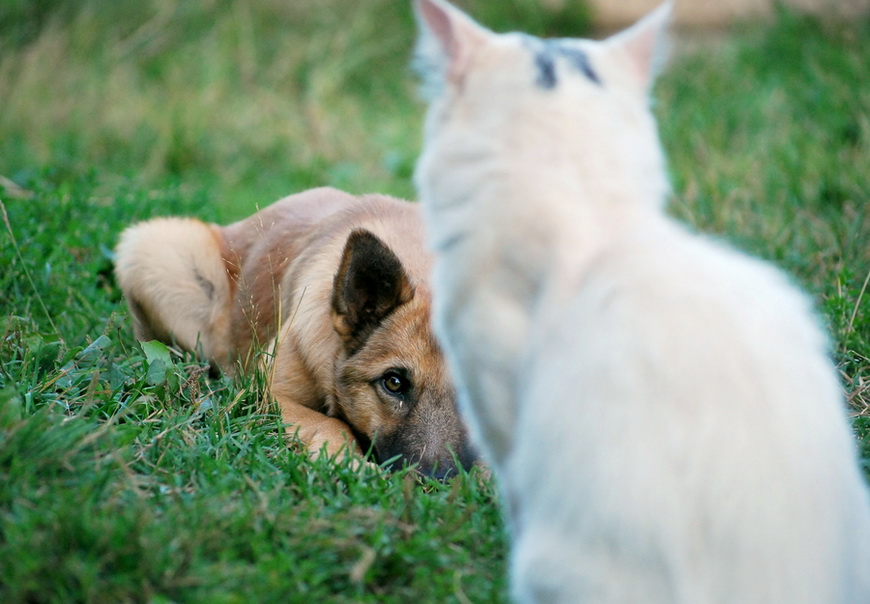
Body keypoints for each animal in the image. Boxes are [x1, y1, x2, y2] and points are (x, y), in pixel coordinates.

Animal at [114, 186, 476, 478]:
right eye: (394, 383)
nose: (434, 483)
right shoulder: (269, 394)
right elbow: (329, 423)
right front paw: (348, 462)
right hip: (157, 251)